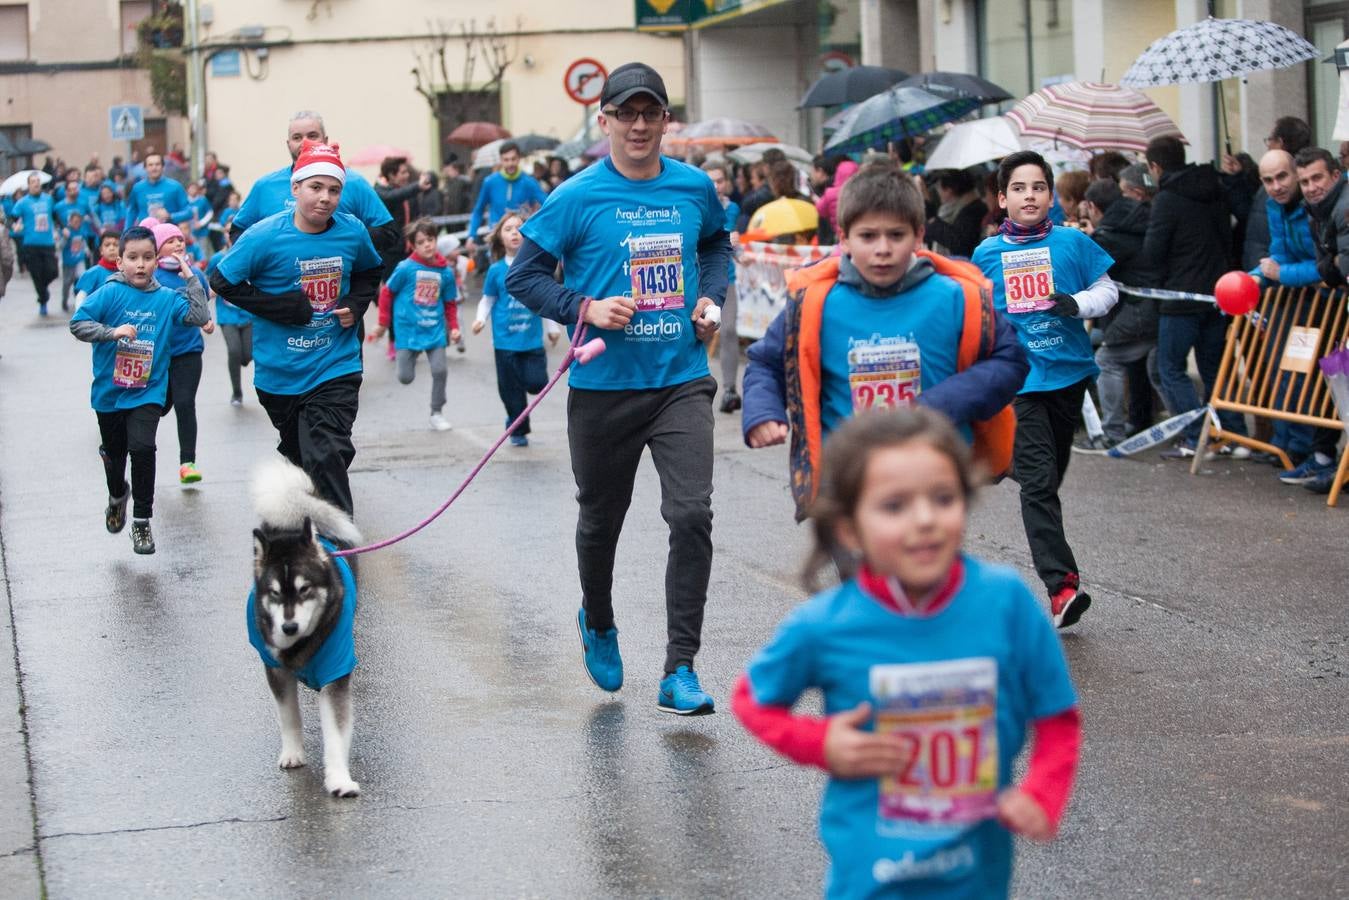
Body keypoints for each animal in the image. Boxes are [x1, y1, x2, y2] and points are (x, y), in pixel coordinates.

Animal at [248, 461, 364, 798]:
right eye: (274, 593)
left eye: (305, 589)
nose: (289, 626)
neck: (302, 644)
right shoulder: (275, 670)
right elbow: (289, 716)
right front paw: (292, 753)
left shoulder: (336, 674)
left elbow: (336, 733)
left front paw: (339, 779)